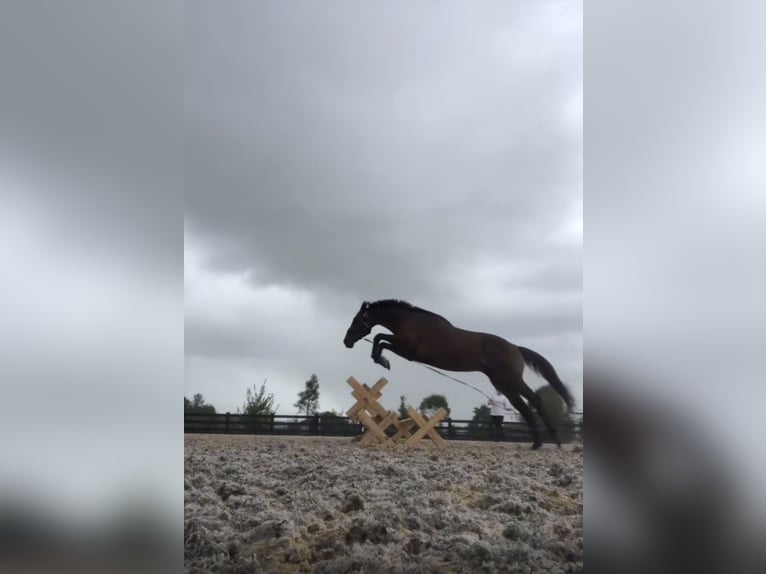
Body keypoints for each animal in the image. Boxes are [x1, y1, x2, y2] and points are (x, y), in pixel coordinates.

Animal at [343, 299, 575, 449]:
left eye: (357, 320)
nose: (346, 342)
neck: (411, 322)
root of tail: (515, 348)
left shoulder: (407, 349)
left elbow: (380, 338)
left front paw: (381, 360)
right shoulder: (404, 349)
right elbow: (381, 339)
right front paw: (381, 360)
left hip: (510, 381)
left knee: (533, 400)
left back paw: (550, 442)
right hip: (503, 383)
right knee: (525, 406)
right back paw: (541, 442)